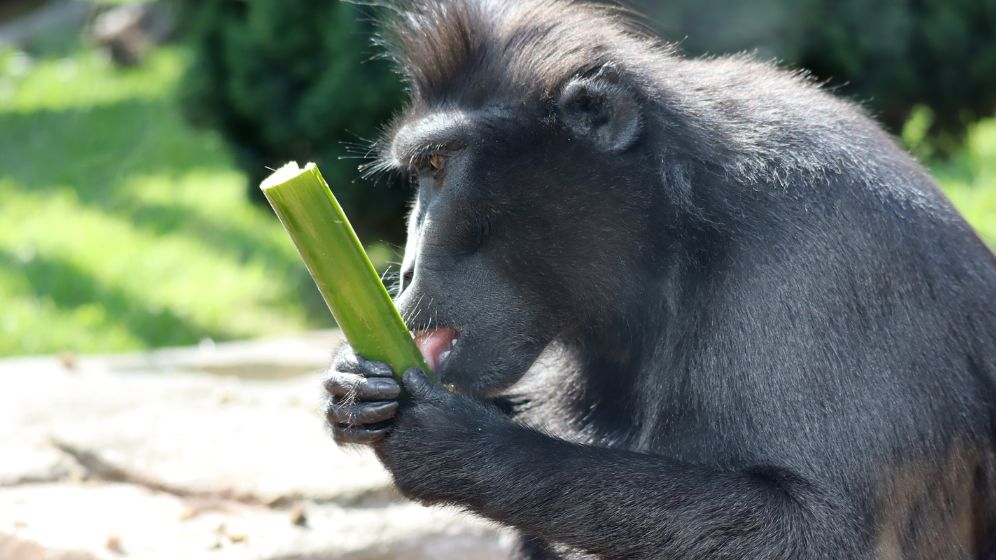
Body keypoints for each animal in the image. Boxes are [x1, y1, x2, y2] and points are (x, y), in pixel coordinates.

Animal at [322, 2, 992, 556]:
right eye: (421, 169)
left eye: (439, 164)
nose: (406, 270)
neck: (675, 224)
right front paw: (354, 384)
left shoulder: (815, 254)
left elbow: (818, 532)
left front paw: (460, 443)